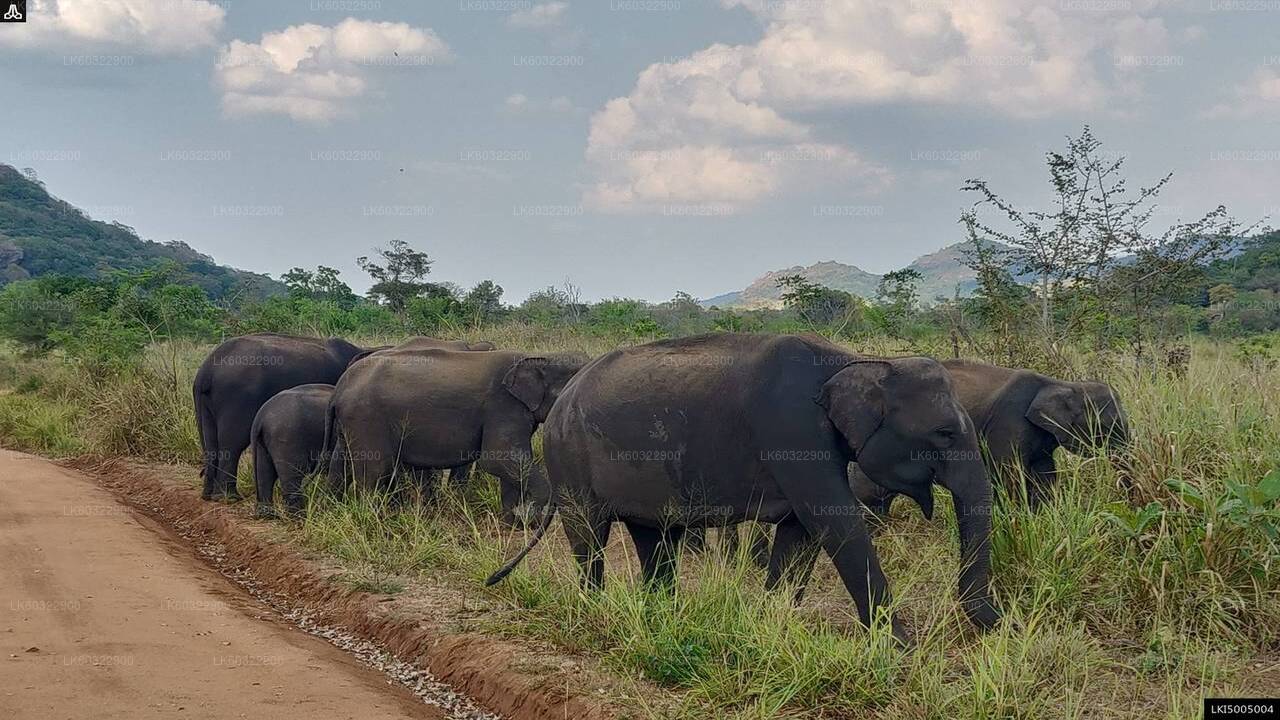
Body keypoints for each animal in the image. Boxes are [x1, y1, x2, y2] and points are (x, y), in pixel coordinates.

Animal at [249, 381, 335, 515]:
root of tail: (260, 418)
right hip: (287, 437)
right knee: (293, 475)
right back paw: (299, 516)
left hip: (262, 441)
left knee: (265, 473)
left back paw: (267, 514)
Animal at [325, 345, 586, 517]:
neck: (539, 357)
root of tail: (341, 387)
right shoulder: (503, 407)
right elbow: (498, 459)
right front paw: (532, 518)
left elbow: (510, 464)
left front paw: (514, 521)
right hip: (367, 417)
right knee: (375, 469)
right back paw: (374, 520)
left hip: (350, 422)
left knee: (341, 464)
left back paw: (333, 508)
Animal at [488, 333, 998, 638]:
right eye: (944, 434)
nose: (994, 626)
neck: (855, 361)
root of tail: (563, 399)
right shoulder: (792, 431)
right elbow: (835, 522)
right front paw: (901, 650)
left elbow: (800, 533)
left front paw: (771, 624)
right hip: (569, 458)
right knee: (590, 537)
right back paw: (595, 609)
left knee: (654, 538)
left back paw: (663, 616)